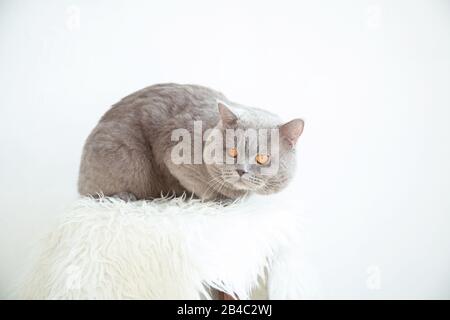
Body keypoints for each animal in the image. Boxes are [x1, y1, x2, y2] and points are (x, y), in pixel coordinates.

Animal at [77, 82, 304, 200]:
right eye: (232, 152)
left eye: (262, 158)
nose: (241, 170)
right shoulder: (177, 159)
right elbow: (206, 189)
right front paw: (221, 200)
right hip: (131, 160)